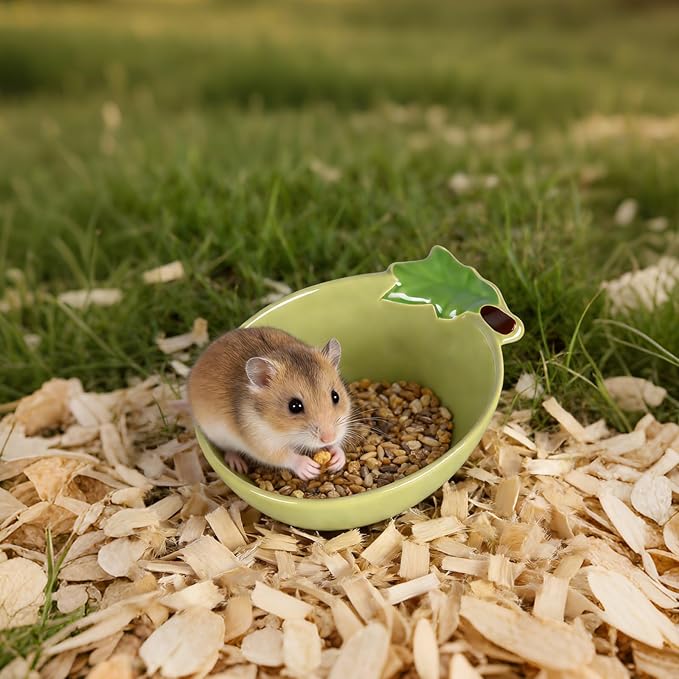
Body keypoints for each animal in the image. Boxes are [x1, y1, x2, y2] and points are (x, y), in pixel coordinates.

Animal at [188, 326, 352, 480]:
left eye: (335, 396)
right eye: (294, 406)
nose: (328, 438)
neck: (283, 431)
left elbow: (337, 445)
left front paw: (337, 459)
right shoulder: (262, 442)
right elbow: (285, 456)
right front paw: (309, 468)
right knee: (228, 450)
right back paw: (238, 465)